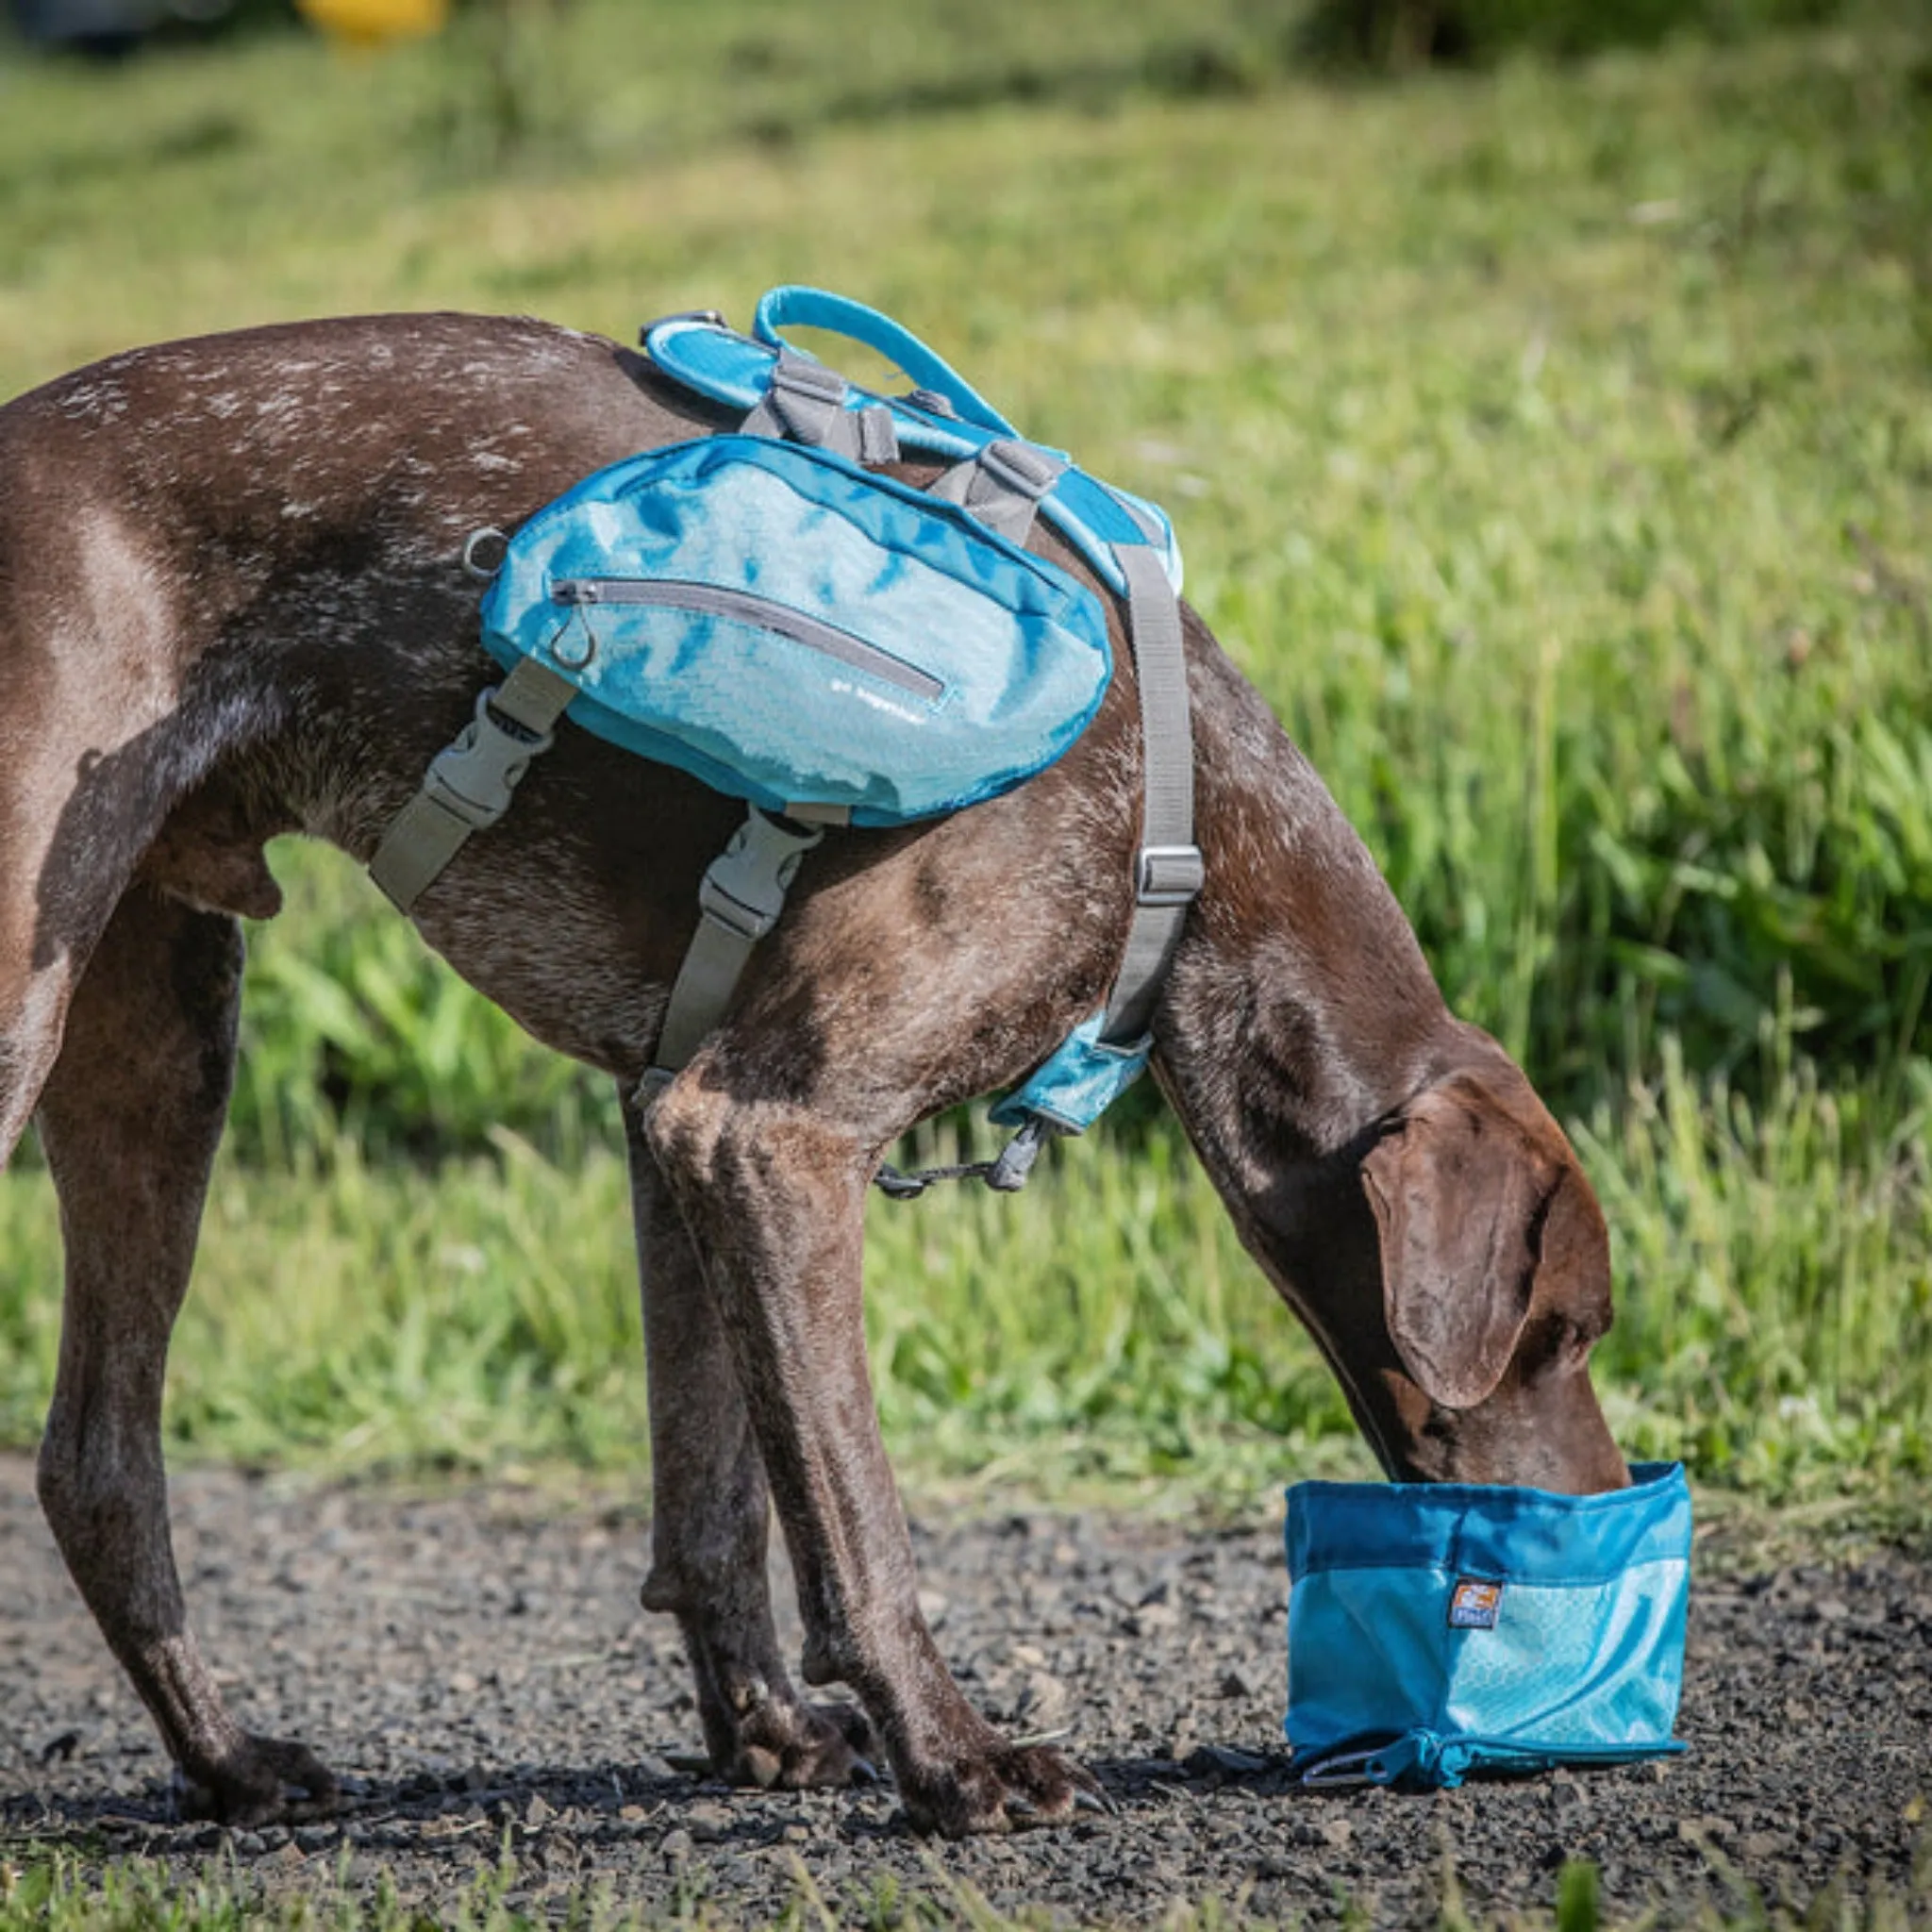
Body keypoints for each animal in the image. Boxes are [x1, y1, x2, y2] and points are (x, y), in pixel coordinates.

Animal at [0, 308, 1630, 1831]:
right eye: (1565, 1335)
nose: (1612, 1521)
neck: (1181, 821)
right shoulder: (765, 1133)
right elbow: (853, 1517)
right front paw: (955, 1755)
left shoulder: (669, 1120)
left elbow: (716, 1499)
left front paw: (767, 1729)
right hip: (34, 1004)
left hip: (164, 1041)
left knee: (96, 1460)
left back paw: (228, 1762)